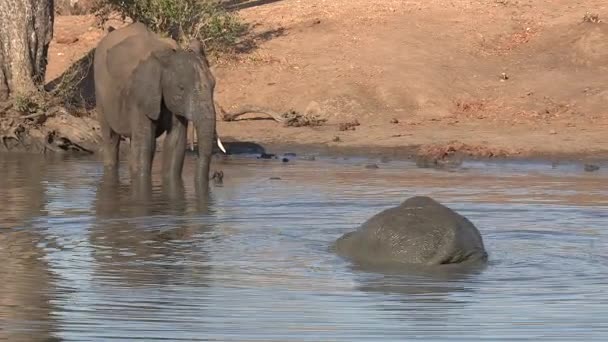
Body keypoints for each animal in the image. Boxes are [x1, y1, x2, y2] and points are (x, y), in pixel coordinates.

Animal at [94, 22, 227, 191]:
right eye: (181, 88)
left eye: (213, 85)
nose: (218, 175)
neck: (168, 58)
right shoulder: (140, 96)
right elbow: (144, 144)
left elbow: (175, 143)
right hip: (100, 92)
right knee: (111, 139)